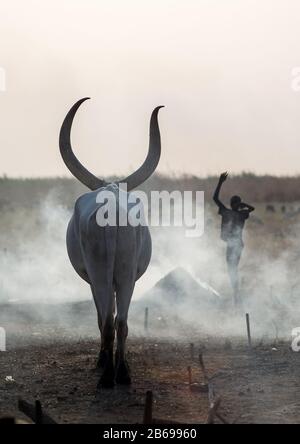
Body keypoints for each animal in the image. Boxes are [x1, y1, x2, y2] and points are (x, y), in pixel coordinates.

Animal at [57, 99, 163, 386]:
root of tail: (113, 208)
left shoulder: (93, 279)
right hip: (125, 274)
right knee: (120, 321)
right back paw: (121, 372)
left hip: (100, 272)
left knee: (106, 320)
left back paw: (106, 373)